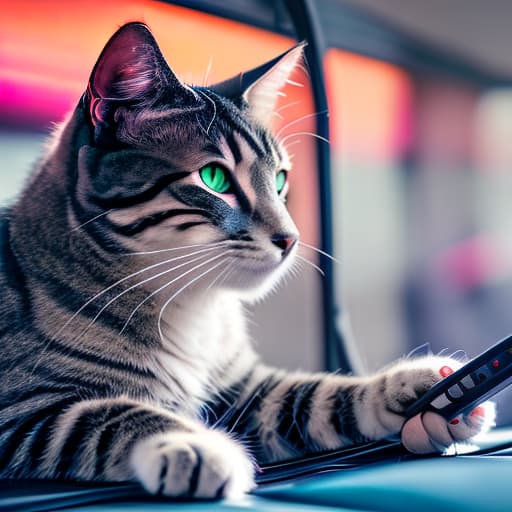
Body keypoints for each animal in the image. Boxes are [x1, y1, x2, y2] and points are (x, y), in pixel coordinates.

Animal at [1, 22, 496, 498]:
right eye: (214, 178)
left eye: (279, 180)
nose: (291, 238)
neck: (191, 311)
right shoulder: (22, 413)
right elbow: (110, 416)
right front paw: (192, 445)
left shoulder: (245, 391)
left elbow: (316, 395)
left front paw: (425, 384)